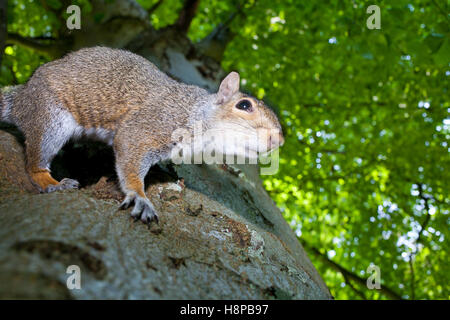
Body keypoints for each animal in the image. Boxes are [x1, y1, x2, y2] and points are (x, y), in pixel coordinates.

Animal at [0, 46, 284, 224]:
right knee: (35, 161)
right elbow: (130, 154)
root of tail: (22, 97)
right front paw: (140, 197)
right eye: (244, 105)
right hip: (50, 117)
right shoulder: (151, 125)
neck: (196, 111)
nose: (278, 140)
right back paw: (51, 182)